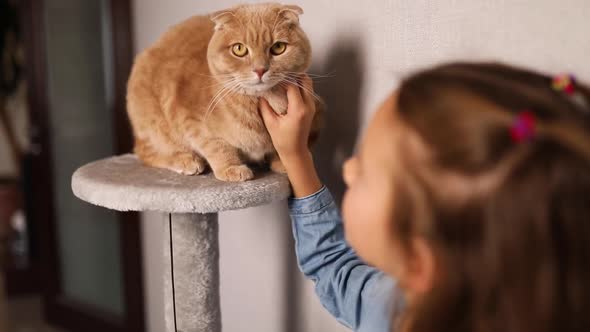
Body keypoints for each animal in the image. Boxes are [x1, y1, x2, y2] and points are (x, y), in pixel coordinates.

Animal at [125, 2, 326, 182]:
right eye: (239, 49)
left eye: (278, 47)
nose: (260, 70)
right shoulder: (188, 117)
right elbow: (215, 145)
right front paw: (231, 168)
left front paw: (282, 162)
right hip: (154, 125)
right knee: (145, 151)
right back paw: (186, 160)